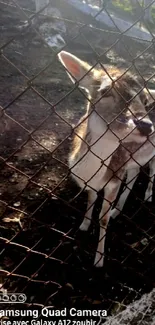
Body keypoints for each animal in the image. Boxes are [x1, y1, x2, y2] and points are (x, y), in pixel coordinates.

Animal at [57, 51, 153, 266]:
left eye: (144, 100)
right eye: (105, 91)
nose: (146, 125)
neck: (88, 173)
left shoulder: (114, 178)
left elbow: (103, 218)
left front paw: (99, 260)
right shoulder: (97, 180)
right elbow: (91, 199)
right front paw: (84, 225)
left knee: (152, 169)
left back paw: (149, 195)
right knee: (135, 173)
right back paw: (118, 210)